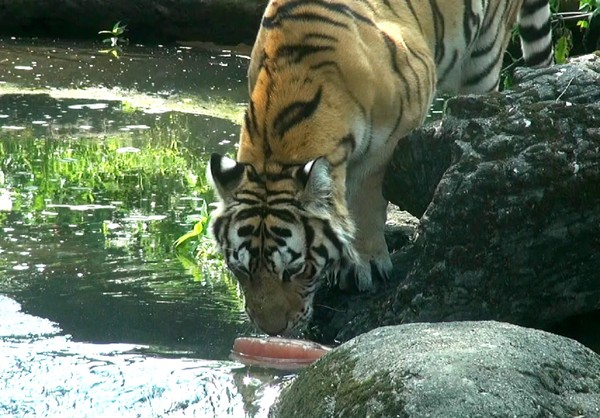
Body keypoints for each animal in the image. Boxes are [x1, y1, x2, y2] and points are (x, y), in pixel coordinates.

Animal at [207, 0, 552, 334]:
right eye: (239, 269)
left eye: (294, 269)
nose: (273, 330)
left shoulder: (395, 129)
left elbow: (364, 196)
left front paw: (364, 264)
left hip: (485, 55)